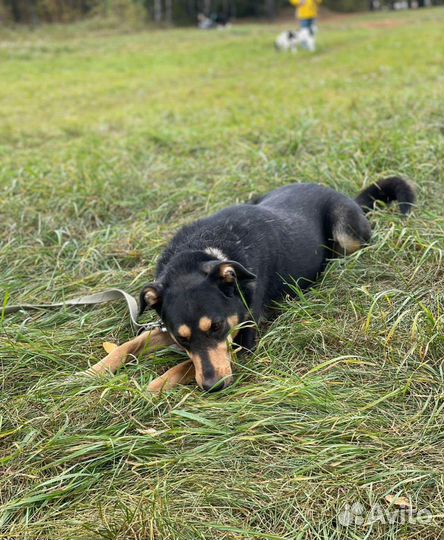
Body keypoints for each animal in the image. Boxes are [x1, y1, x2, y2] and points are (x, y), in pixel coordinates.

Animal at [125, 177, 416, 392]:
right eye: (182, 338)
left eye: (217, 326)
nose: (213, 386)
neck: (203, 250)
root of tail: (341, 194)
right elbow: (133, 344)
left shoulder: (242, 339)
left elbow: (184, 366)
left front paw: (152, 387)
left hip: (347, 233)